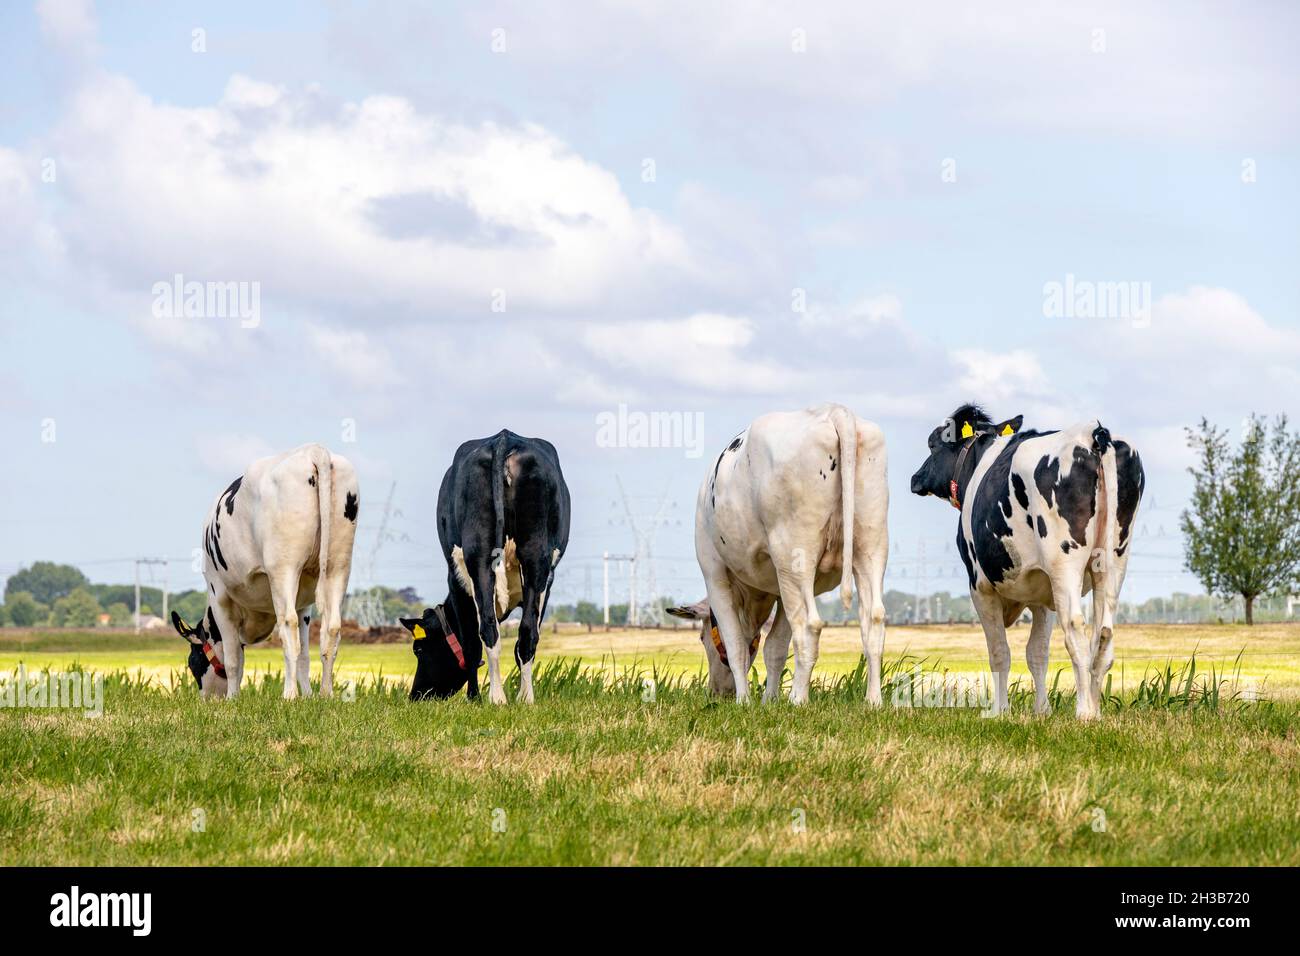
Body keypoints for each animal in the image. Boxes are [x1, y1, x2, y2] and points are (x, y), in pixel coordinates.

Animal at [171, 444, 361, 697]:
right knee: (331, 629)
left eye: (194, 662)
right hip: (339, 565)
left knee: (288, 625)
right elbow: (304, 658)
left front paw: (233, 698)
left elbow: (233, 661)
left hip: (284, 568)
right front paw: (309, 696)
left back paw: (289, 695)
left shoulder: (219, 596)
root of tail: (314, 450)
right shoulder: (304, 607)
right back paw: (326, 694)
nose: (206, 699)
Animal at [397, 429, 572, 707]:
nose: (416, 695)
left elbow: (470, 643)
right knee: (525, 633)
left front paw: (473, 697)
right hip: (536, 555)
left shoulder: (455, 578)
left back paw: (496, 698)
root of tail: (504, 439)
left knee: (488, 630)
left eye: (419, 649)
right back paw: (524, 698)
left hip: (478, 556)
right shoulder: (548, 581)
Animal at [691, 400, 894, 707]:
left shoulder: (714, 574)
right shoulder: (781, 588)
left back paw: (799, 699)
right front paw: (768, 701)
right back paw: (873, 701)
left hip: (794, 554)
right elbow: (775, 647)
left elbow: (737, 646)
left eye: (703, 638)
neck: (754, 600)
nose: (717, 691)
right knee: (874, 620)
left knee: (810, 626)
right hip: (871, 543)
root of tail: (832, 410)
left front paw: (745, 701)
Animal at [909, 403, 1144, 717]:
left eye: (932, 444)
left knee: (1075, 628)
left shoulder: (980, 587)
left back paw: (1084, 712)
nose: (915, 478)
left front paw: (998, 711)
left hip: (1064, 563)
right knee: (1103, 633)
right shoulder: (1042, 594)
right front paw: (1042, 710)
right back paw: (1095, 710)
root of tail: (1095, 434)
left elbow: (999, 652)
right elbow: (1037, 653)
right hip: (1114, 559)